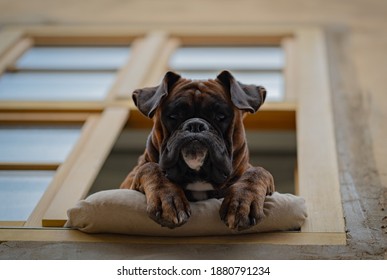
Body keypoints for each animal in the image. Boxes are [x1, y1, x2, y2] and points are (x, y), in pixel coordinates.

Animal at [121, 71, 276, 231]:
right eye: (173, 116)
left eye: (220, 116)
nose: (195, 125)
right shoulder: (129, 183)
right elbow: (151, 168)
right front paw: (167, 198)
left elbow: (257, 172)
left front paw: (242, 202)